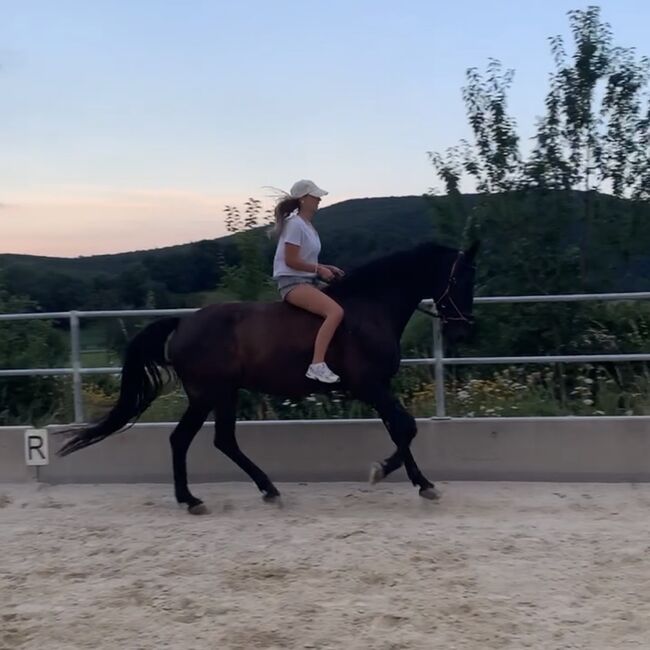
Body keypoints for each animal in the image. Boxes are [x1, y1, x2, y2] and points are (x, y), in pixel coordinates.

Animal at [56, 240, 479, 513]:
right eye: (462, 279)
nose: (463, 330)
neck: (370, 307)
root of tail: (184, 322)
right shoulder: (370, 385)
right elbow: (406, 427)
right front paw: (401, 477)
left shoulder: (379, 387)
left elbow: (401, 430)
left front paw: (408, 478)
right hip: (212, 393)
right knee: (202, 439)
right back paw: (221, 496)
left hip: (217, 395)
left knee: (203, 440)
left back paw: (221, 495)